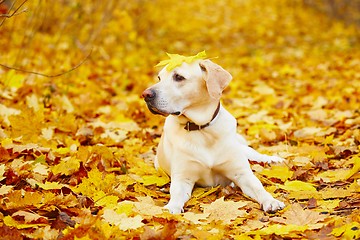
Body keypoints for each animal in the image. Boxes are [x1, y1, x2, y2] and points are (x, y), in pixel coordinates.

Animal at [142, 58, 286, 214]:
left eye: (179, 77)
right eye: (159, 78)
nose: (145, 94)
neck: (201, 129)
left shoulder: (241, 173)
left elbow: (258, 187)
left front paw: (271, 201)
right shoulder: (183, 178)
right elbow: (176, 194)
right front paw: (171, 208)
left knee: (257, 155)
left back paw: (274, 159)